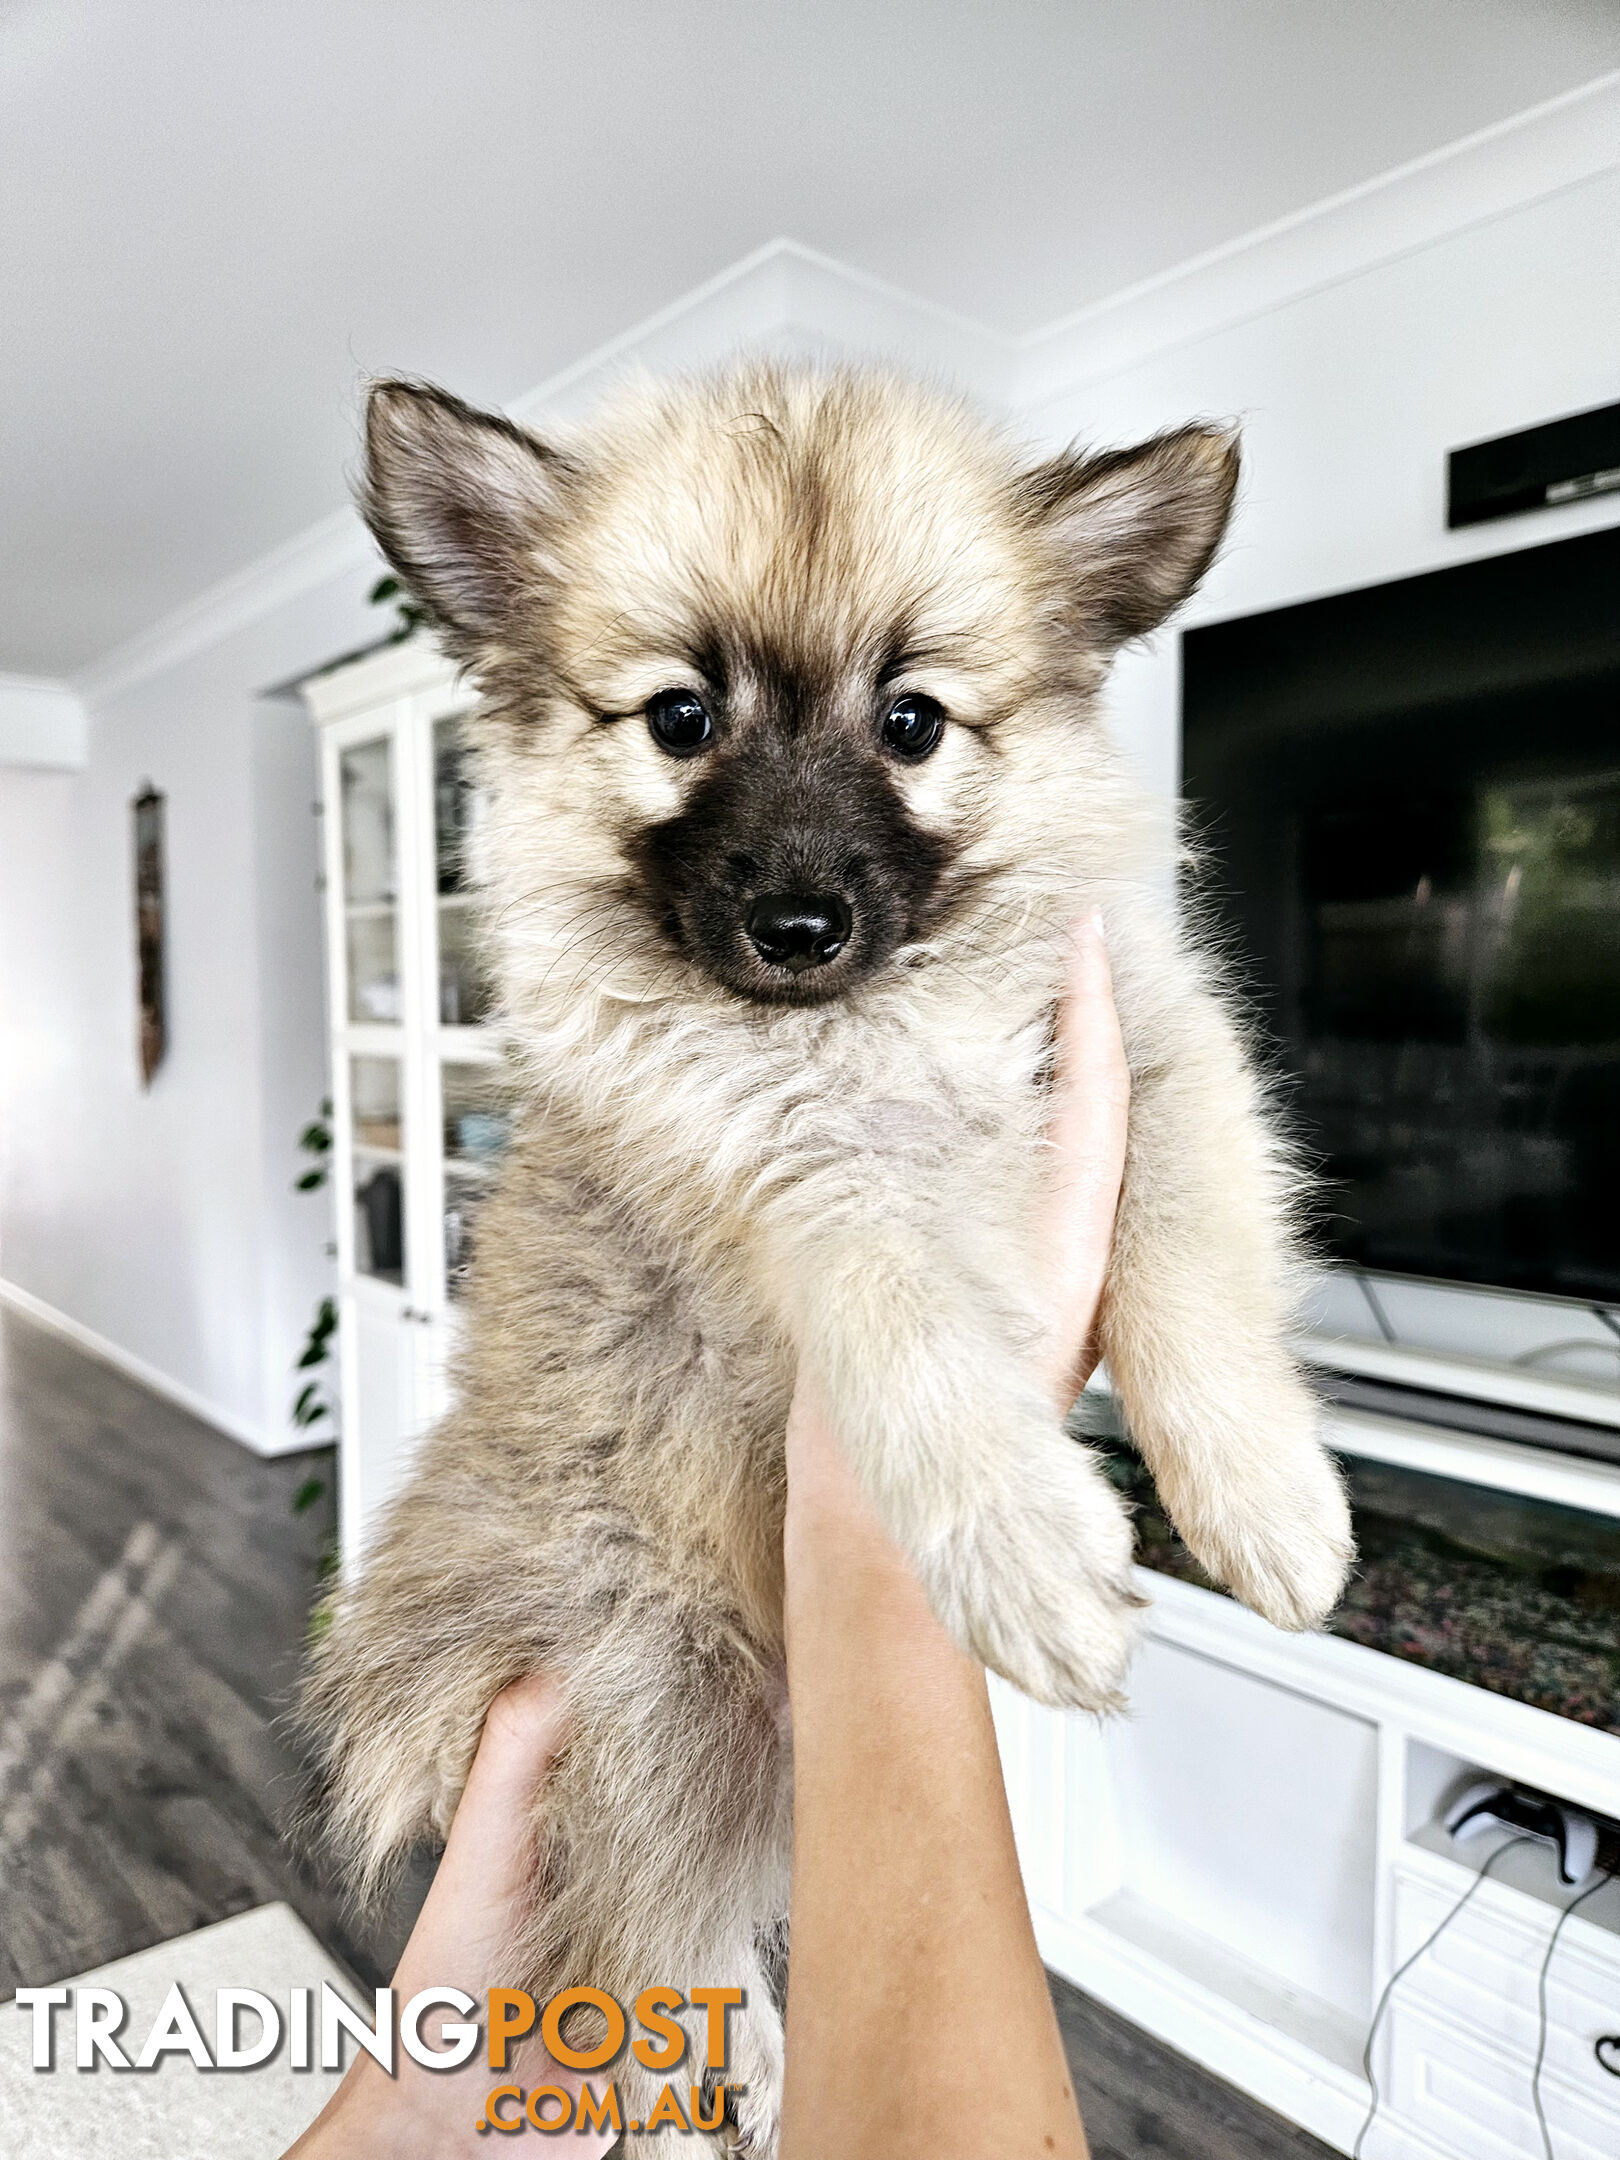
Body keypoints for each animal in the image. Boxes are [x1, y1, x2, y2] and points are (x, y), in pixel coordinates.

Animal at [304, 362, 1356, 2151]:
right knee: (640, 1937)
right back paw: (713, 2079)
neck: (866, 1026)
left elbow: (1196, 1260)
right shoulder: (792, 1192)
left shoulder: (1146, 1043)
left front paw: (1264, 1497)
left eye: (913, 721)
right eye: (680, 718)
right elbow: (910, 1324)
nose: (799, 927)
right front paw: (1021, 1543)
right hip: (663, 1690)